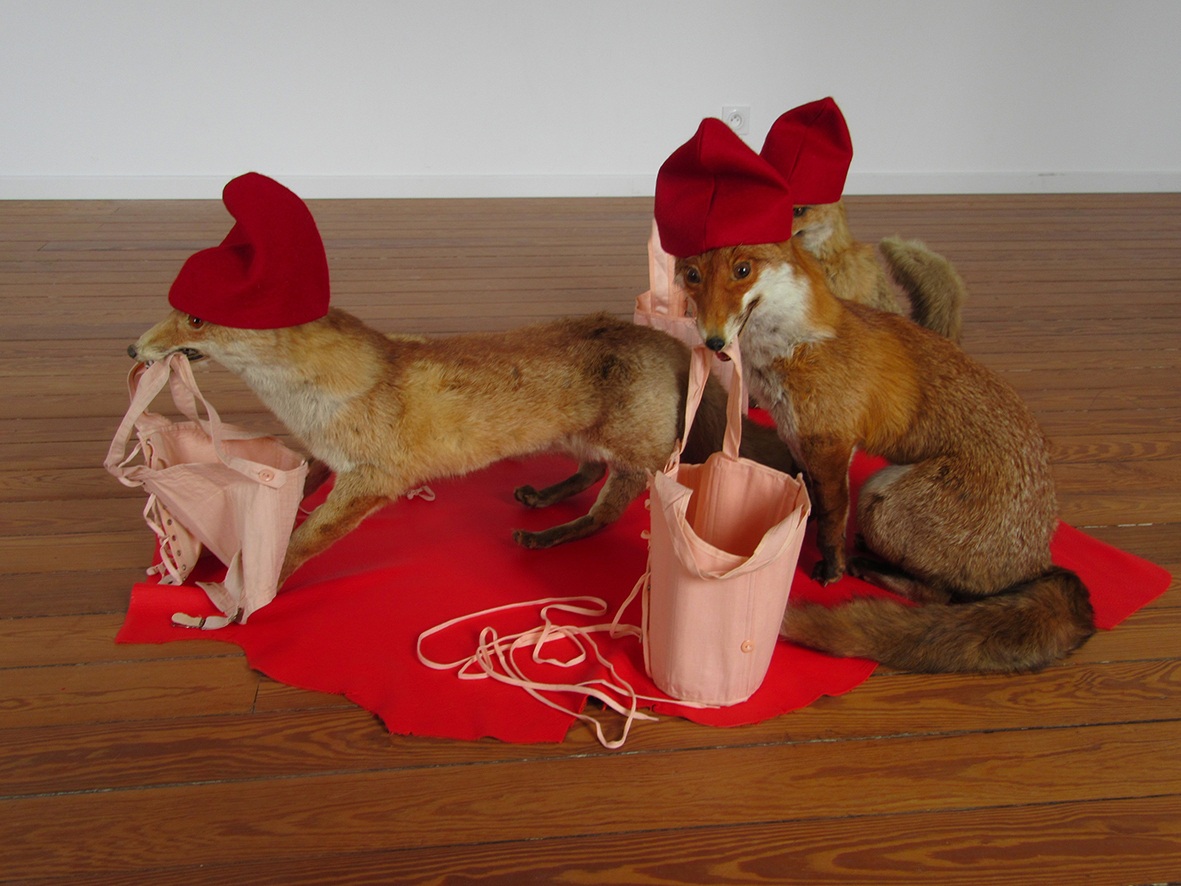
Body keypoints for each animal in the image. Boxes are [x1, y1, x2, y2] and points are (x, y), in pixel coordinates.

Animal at [128, 307, 797, 587]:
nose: (132, 349)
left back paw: (550, 534)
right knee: (583, 474)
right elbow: (300, 479)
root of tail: (673, 344)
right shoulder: (327, 456)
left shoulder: (374, 478)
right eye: (176, 311)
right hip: (578, 438)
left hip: (639, 456)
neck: (315, 402)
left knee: (606, 515)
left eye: (194, 320)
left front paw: (256, 584)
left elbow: (306, 539)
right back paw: (542, 496)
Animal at [676, 236, 1095, 674]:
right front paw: (801, 522)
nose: (713, 341)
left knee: (940, 595)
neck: (794, 343)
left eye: (742, 270)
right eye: (693, 276)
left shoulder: (830, 442)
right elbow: (810, 495)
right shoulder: (796, 435)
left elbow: (832, 517)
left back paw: (872, 568)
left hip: (882, 496)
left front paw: (833, 567)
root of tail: (1038, 562)